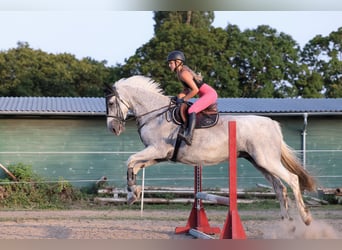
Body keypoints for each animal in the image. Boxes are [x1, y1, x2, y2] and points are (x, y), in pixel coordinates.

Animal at [105, 75, 316, 226]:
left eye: (111, 103)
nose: (113, 129)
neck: (155, 114)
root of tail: (273, 123)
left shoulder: (156, 149)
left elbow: (130, 160)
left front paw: (132, 192)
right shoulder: (159, 155)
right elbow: (134, 165)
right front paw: (133, 194)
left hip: (266, 160)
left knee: (292, 180)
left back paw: (305, 218)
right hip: (259, 162)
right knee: (279, 188)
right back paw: (287, 223)